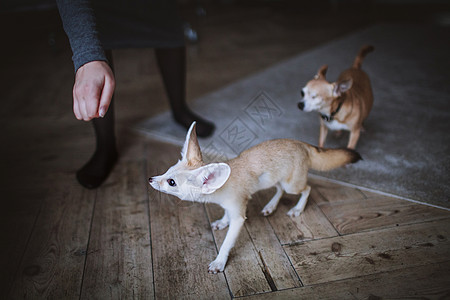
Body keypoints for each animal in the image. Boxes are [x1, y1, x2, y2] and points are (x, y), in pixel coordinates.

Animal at [149, 122, 360, 274]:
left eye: (171, 182)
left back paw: (298, 208)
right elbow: (225, 215)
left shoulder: (238, 214)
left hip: (292, 185)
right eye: (167, 170)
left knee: (307, 189)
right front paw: (222, 222)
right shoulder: (229, 206)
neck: (222, 186)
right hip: (275, 180)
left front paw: (219, 262)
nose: (150, 179)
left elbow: (226, 243)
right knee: (279, 189)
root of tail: (302, 144)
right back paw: (271, 206)